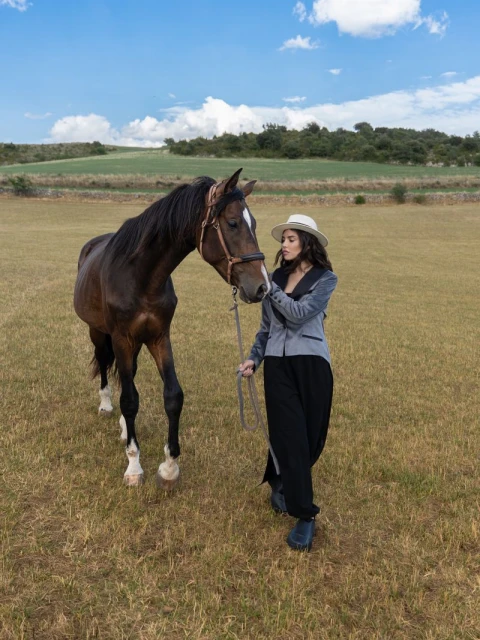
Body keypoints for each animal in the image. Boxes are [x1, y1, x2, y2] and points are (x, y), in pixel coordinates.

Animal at [73, 168, 270, 489]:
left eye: (253, 222)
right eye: (232, 223)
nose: (263, 286)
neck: (140, 276)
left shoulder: (158, 337)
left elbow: (173, 396)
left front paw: (169, 467)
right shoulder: (122, 338)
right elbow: (130, 400)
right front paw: (134, 466)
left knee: (128, 374)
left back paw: (124, 428)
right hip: (100, 332)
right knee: (103, 363)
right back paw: (106, 406)